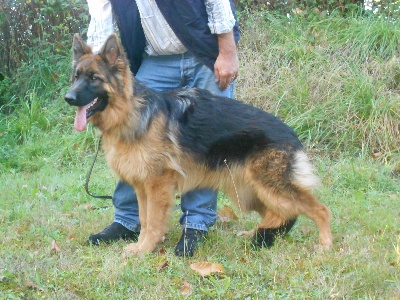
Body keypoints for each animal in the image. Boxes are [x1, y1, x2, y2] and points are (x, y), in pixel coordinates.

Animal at [65, 34, 332, 255]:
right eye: (76, 77)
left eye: (94, 78)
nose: (68, 97)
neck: (133, 112)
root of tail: (290, 133)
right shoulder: (142, 186)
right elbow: (144, 218)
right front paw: (142, 246)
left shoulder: (157, 185)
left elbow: (153, 221)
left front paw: (145, 249)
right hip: (249, 190)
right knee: (280, 213)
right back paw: (256, 235)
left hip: (268, 187)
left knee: (317, 209)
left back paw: (324, 244)